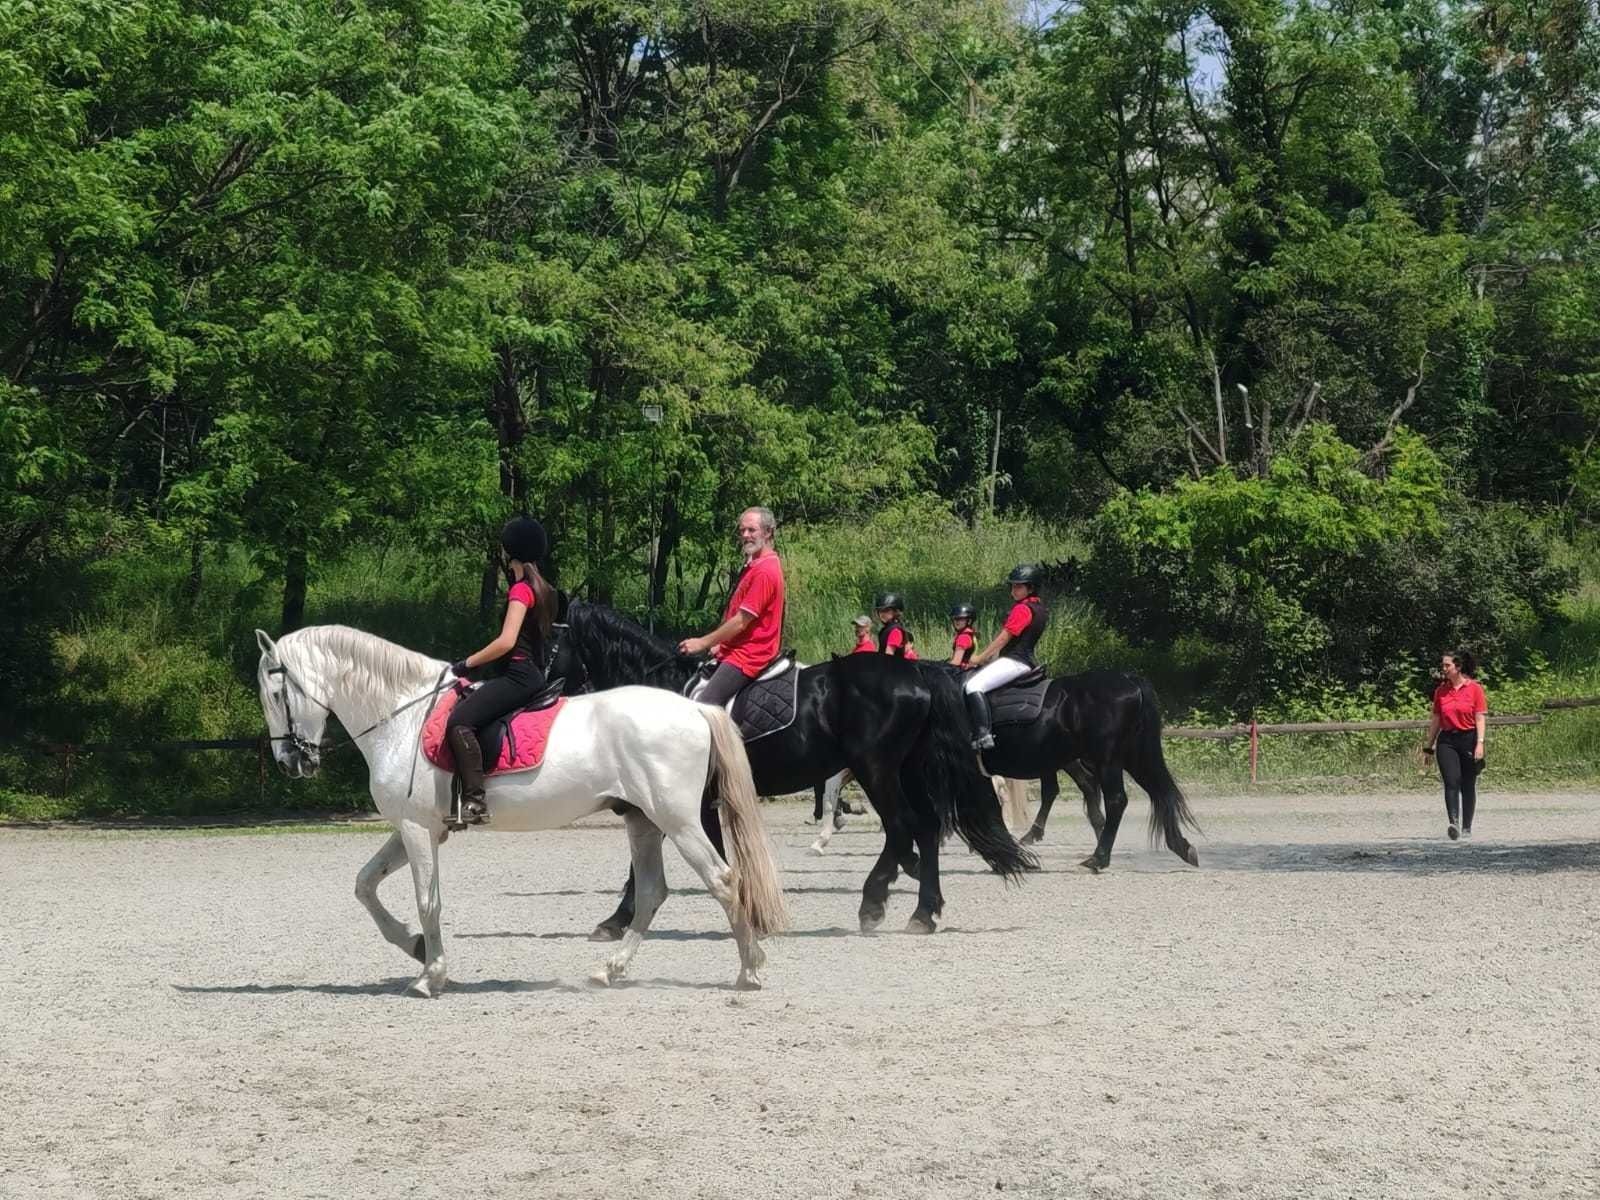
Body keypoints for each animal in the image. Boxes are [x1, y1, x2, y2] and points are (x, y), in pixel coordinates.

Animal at [253, 624, 788, 995]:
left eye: (276, 694)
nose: (289, 762)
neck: (402, 715)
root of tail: (694, 707)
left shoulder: (416, 829)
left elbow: (428, 901)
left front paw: (431, 975)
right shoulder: (418, 827)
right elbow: (365, 884)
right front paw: (416, 946)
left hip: (677, 820)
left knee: (723, 880)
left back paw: (749, 971)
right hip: (642, 821)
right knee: (653, 892)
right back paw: (609, 970)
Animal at [551, 603, 1035, 935]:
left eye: (552, 644)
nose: (545, 692)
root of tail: (915, 673)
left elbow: (650, 865)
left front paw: (616, 920)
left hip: (876, 769)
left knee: (903, 826)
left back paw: (874, 901)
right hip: (908, 769)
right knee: (928, 828)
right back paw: (923, 911)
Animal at [947, 665, 1201, 871]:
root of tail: (1130, 681)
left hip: (1107, 760)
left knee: (1115, 800)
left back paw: (1098, 857)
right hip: (1133, 757)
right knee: (1159, 792)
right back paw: (1180, 847)